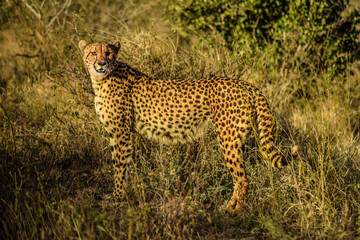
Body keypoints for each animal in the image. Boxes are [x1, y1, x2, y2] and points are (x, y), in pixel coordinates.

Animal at [79, 40, 286, 213]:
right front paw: (117, 194)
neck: (102, 80)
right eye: (93, 53)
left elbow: (120, 165)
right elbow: (119, 163)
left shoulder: (121, 133)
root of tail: (244, 83)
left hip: (228, 139)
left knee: (242, 179)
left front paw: (118, 196)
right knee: (241, 177)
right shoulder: (116, 133)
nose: (101, 64)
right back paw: (232, 206)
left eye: (108, 53)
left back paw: (234, 210)